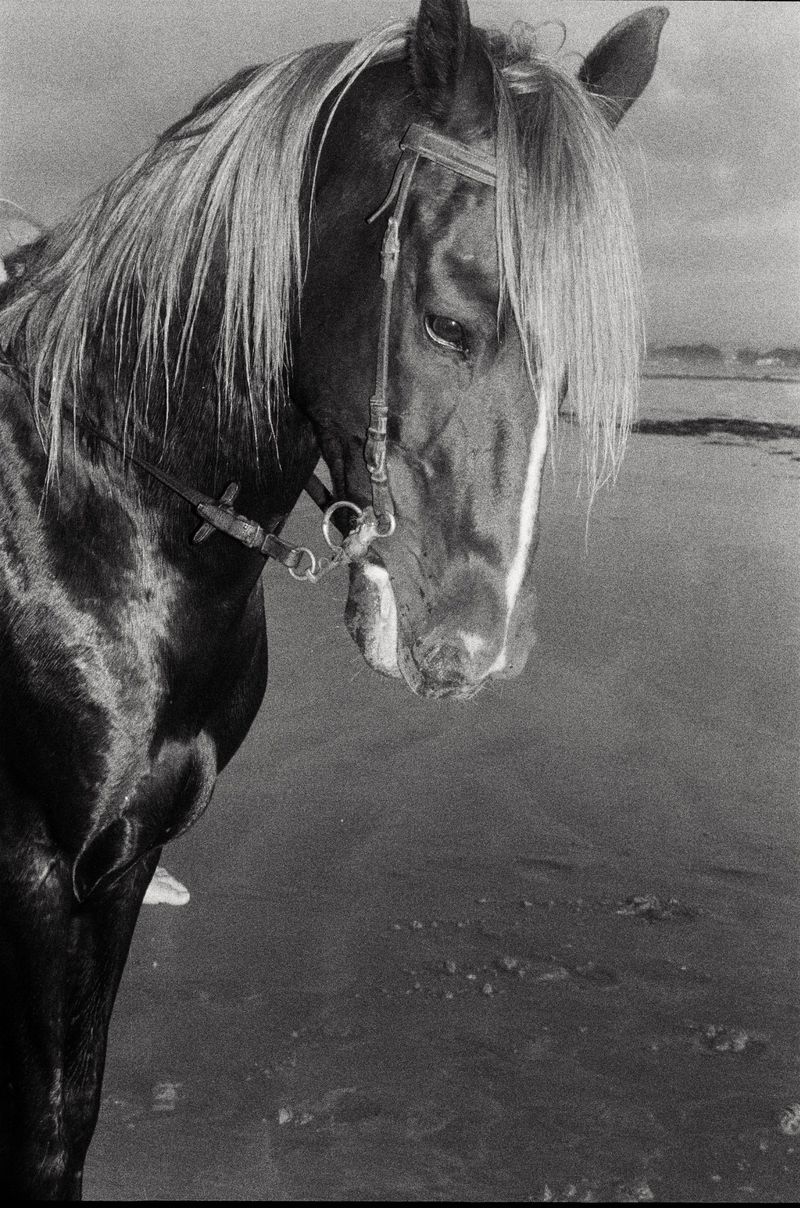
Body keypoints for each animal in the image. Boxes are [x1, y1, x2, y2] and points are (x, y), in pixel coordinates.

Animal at [0, 0, 666, 1197]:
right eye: (448, 322)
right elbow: (44, 1131)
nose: (471, 644)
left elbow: (74, 1108)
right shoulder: (34, 869)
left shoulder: (123, 861)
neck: (94, 507)